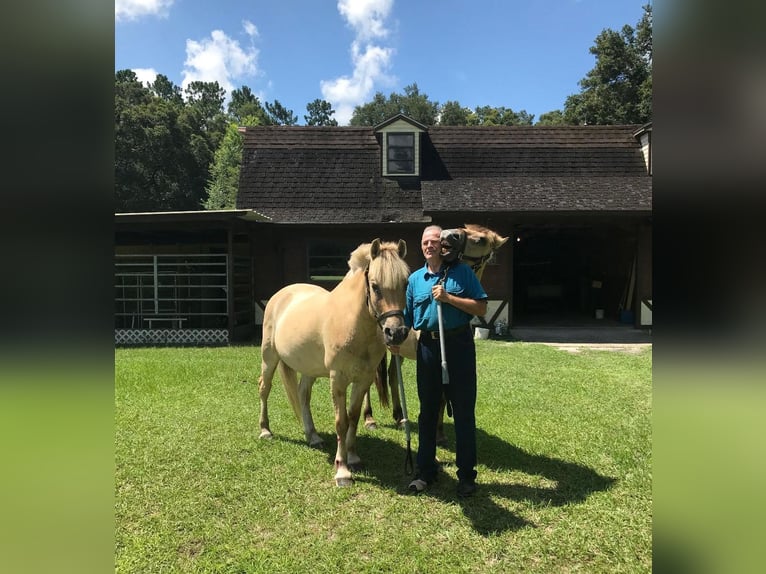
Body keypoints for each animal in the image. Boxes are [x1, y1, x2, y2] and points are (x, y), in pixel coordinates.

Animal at [258, 239, 410, 487]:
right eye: (375, 286)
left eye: (406, 284)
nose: (395, 333)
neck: (353, 322)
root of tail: (281, 294)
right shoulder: (337, 379)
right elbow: (341, 421)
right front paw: (342, 470)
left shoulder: (363, 380)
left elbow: (353, 418)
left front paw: (354, 457)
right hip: (269, 357)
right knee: (264, 388)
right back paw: (265, 430)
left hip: (309, 368)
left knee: (303, 394)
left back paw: (313, 436)